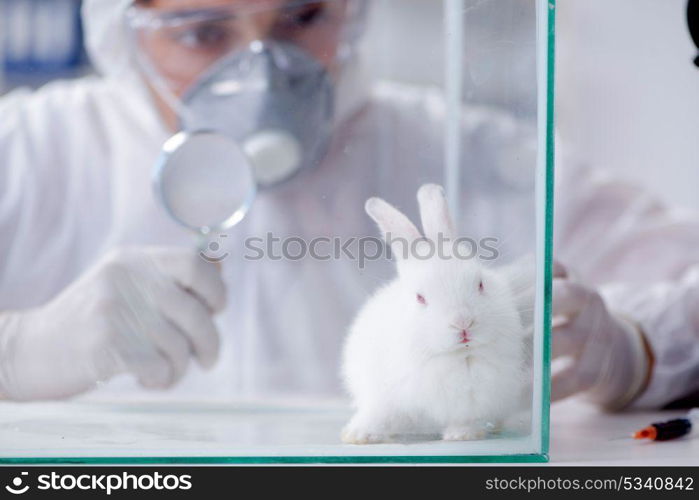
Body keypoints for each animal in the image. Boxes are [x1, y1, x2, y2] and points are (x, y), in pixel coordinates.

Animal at [340, 186, 532, 444]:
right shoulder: (382, 393)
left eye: (480, 284)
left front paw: (462, 436)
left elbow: (464, 419)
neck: (452, 357)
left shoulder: (471, 400)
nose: (463, 323)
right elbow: (377, 413)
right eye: (420, 298)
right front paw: (357, 436)